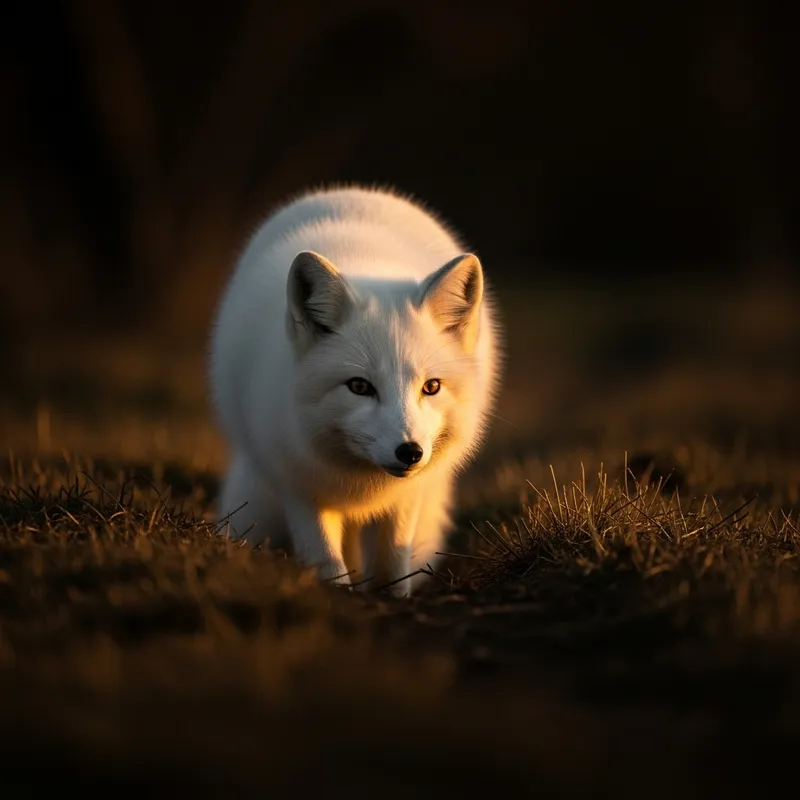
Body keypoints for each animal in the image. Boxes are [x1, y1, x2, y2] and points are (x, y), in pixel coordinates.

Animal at [209, 184, 502, 595]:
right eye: (359, 386)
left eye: (431, 387)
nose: (410, 451)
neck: (362, 482)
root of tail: (350, 190)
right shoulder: (299, 485)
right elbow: (328, 561)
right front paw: (338, 595)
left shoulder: (406, 497)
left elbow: (393, 562)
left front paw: (392, 598)